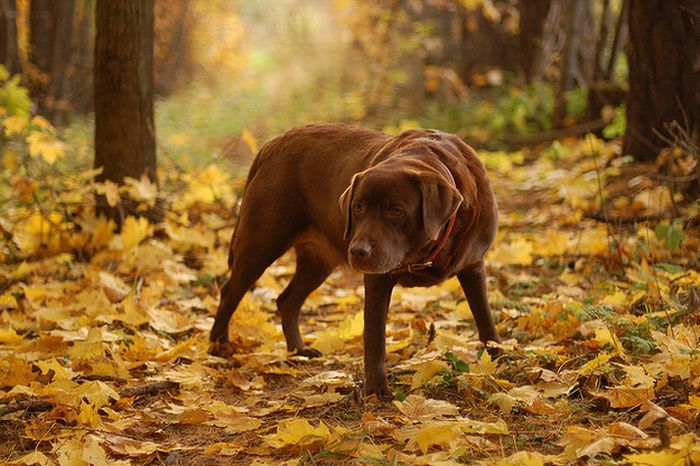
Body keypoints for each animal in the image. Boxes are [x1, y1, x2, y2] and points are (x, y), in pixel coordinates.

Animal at [208, 124, 498, 396]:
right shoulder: (378, 280)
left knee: (286, 300)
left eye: (396, 211)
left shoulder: (473, 266)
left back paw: (298, 350)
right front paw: (376, 390)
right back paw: (219, 345)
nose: (358, 251)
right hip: (261, 242)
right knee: (231, 291)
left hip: (317, 263)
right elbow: (375, 337)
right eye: (358, 207)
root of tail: (271, 144)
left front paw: (497, 357)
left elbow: (484, 316)